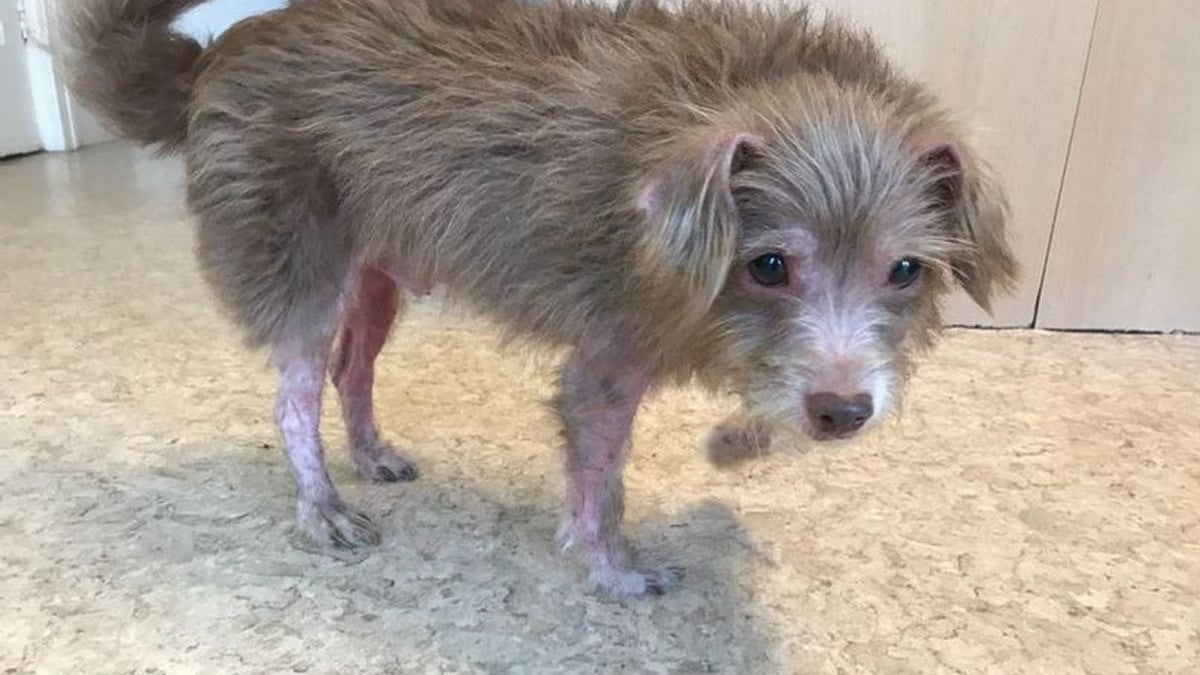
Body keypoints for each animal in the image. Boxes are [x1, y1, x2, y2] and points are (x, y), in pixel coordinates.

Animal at [70, 0, 1017, 590]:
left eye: (906, 271)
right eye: (771, 265)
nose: (844, 414)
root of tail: (212, 59)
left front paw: (737, 444)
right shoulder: (605, 365)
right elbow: (600, 485)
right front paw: (613, 570)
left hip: (376, 280)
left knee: (352, 369)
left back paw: (371, 454)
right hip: (302, 271)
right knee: (293, 400)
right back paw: (323, 507)